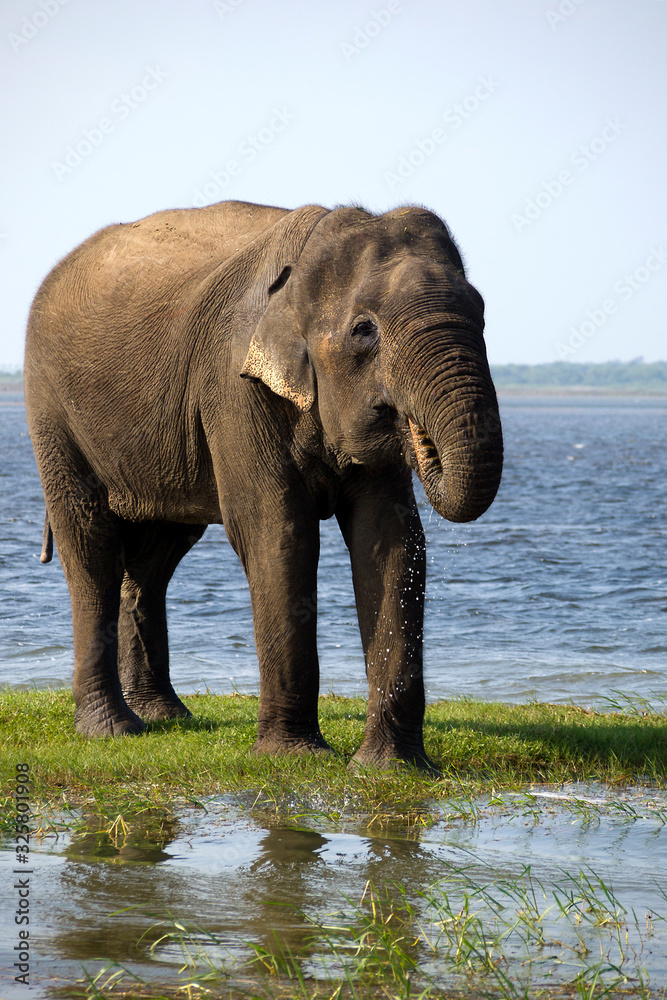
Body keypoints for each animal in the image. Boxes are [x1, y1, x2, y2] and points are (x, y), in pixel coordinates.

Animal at [24, 200, 503, 769]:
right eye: (365, 331)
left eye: (481, 312)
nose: (421, 438)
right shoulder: (234, 389)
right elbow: (278, 532)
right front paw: (296, 758)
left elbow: (390, 540)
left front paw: (392, 768)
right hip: (51, 409)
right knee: (91, 546)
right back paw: (112, 730)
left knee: (156, 556)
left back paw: (165, 717)